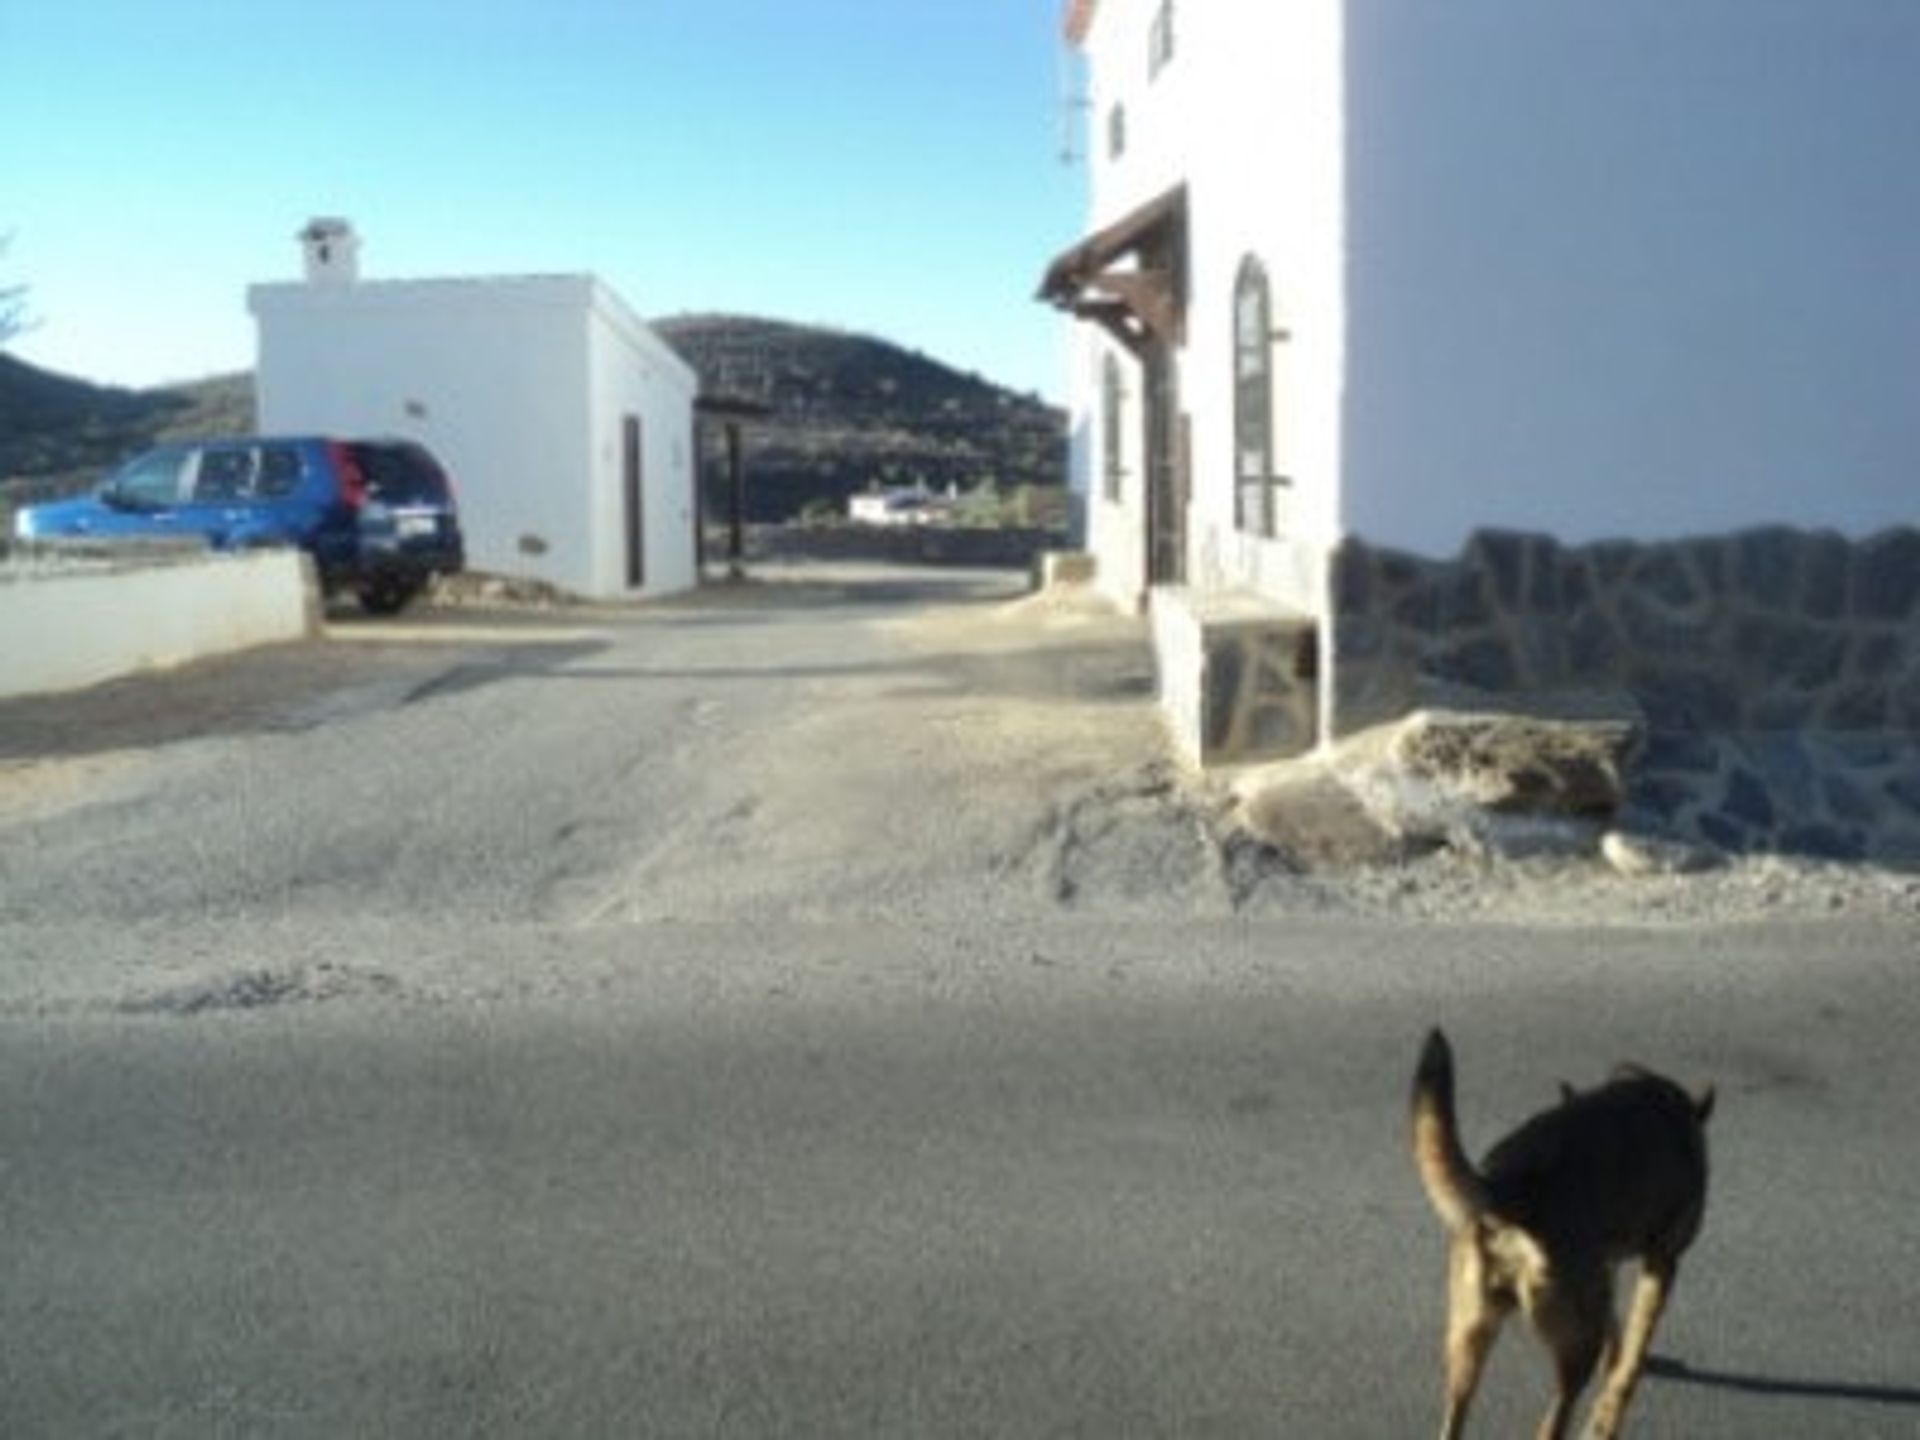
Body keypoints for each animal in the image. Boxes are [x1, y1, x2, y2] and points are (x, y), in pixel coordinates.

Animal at [1413, 1029, 1712, 1436]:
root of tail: (1510, 1188)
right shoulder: (1662, 1262)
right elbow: (1635, 1350)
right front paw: (1609, 1410)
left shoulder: (1605, 1266)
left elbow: (1617, 1327)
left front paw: (1614, 1360)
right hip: (1574, 1356)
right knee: (1553, 1423)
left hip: (1469, 1342)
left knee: (1454, 1422)